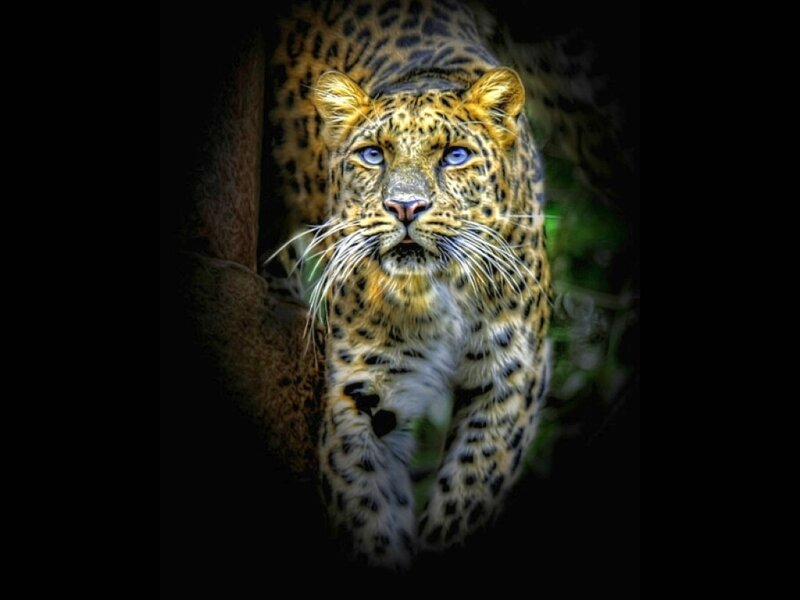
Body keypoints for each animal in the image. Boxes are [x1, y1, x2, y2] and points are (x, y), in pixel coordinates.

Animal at [265, 0, 558, 569]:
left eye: (455, 156)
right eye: (374, 155)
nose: (405, 206)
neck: (442, 293)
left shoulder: (510, 379)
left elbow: (470, 489)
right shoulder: (364, 390)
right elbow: (368, 505)